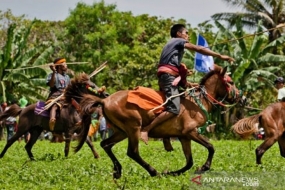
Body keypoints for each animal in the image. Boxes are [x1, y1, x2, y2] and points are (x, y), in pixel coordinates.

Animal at [75, 65, 240, 178]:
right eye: (231, 82)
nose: (240, 97)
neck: (197, 102)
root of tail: (104, 100)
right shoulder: (190, 132)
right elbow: (211, 147)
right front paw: (204, 167)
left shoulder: (184, 136)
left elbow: (189, 162)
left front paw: (172, 172)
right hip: (133, 128)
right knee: (132, 152)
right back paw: (154, 172)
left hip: (121, 132)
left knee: (105, 144)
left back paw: (118, 170)